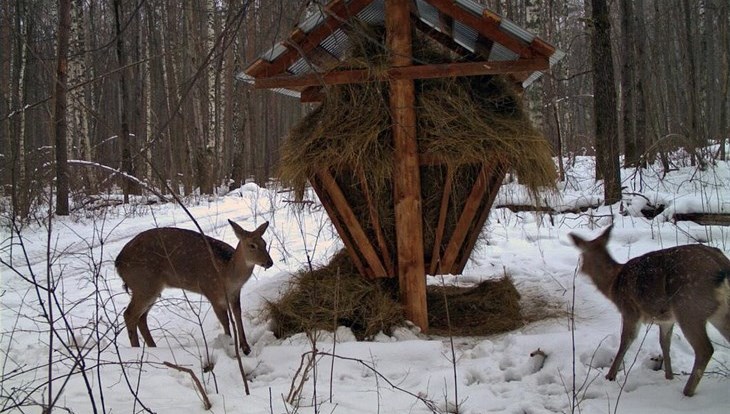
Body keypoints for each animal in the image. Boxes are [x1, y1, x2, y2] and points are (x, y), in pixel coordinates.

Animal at [114, 220, 272, 356]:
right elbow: (225, 321)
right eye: (252, 245)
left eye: (264, 243)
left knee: (141, 317)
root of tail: (118, 263)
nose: (269, 262)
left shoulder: (235, 293)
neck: (227, 274)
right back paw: (136, 350)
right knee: (129, 314)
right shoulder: (211, 291)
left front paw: (245, 348)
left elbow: (238, 315)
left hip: (151, 288)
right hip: (143, 284)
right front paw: (230, 345)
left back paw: (153, 348)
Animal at [568, 225, 728, 396]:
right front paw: (669, 376)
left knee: (705, 349)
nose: (580, 269)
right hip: (715, 312)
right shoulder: (666, 319)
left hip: (689, 307)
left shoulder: (629, 310)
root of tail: (721, 265)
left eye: (581, 255)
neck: (613, 283)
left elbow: (626, 341)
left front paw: (610, 376)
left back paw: (687, 392)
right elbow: (665, 344)